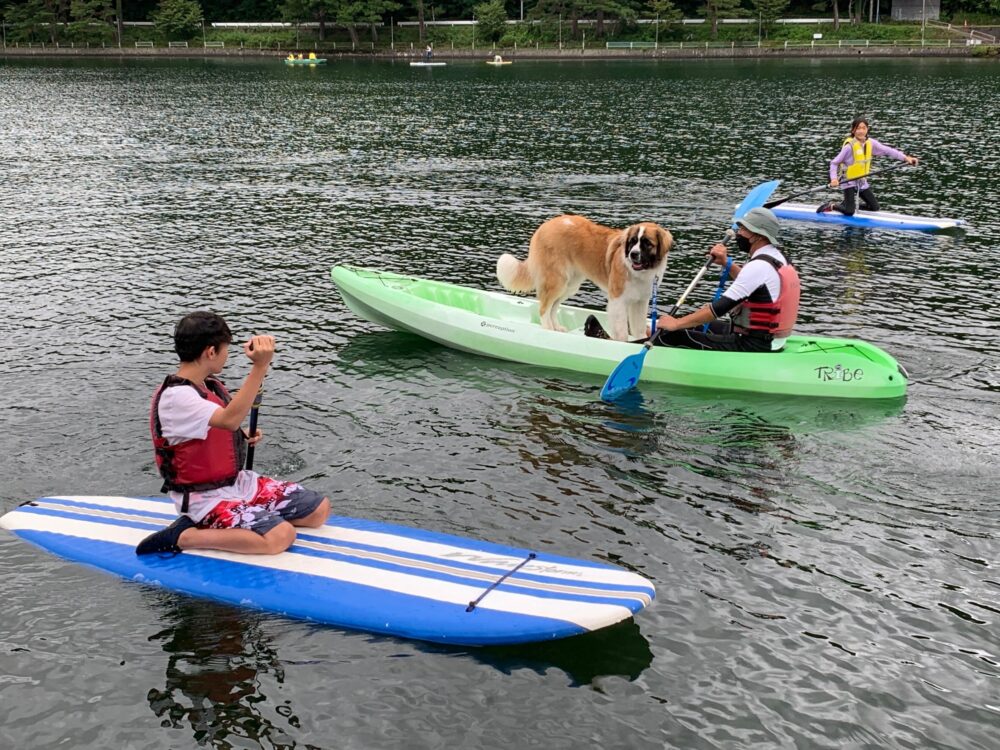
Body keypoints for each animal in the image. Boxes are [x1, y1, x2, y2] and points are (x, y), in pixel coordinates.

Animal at [494, 216, 672, 342]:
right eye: (633, 241)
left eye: (647, 243)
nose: (633, 254)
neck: (641, 271)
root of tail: (545, 226)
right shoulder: (618, 300)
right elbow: (621, 330)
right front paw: (624, 345)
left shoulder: (640, 302)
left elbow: (639, 327)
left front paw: (641, 339)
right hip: (557, 281)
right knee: (544, 307)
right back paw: (548, 329)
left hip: (569, 285)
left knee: (553, 307)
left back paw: (556, 328)